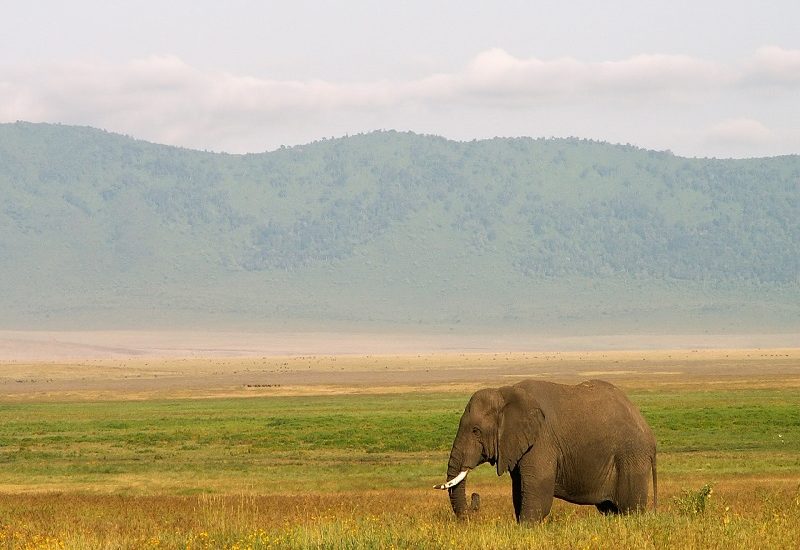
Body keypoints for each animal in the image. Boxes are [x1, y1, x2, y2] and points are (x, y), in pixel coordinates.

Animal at [434, 379, 657, 523]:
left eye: (476, 431)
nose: (475, 496)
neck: (505, 393)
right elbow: (519, 489)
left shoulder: (542, 440)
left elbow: (537, 491)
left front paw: (526, 528)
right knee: (610, 510)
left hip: (631, 456)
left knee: (630, 509)